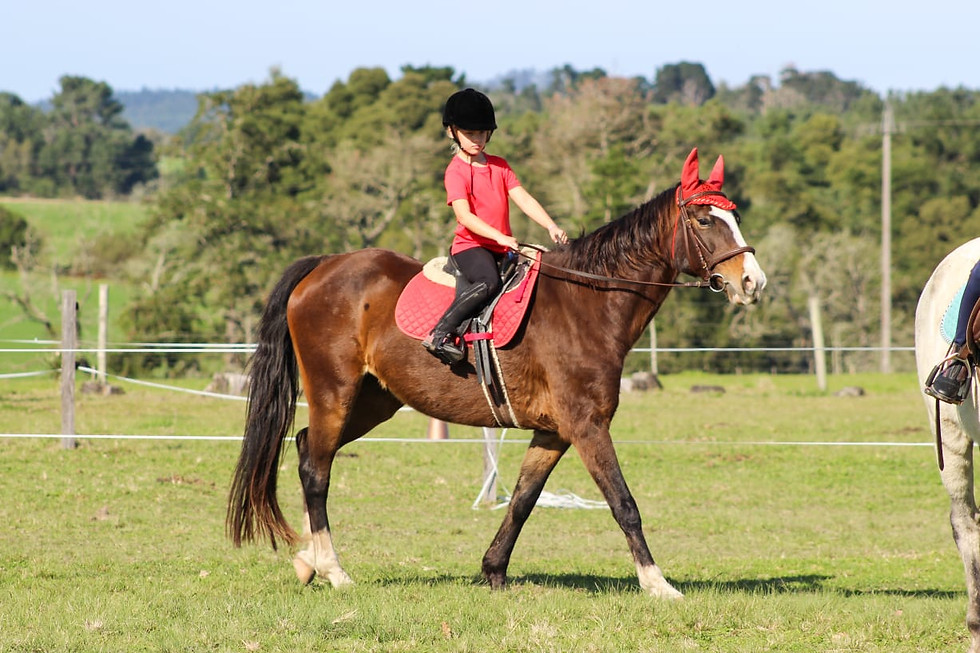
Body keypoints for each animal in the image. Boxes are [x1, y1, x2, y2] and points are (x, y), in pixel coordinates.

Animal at [227, 147, 767, 598]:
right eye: (704, 219)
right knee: (316, 469)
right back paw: (335, 571)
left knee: (305, 449)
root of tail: (324, 266)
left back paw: (309, 562)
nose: (752, 282)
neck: (587, 301)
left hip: (375, 400)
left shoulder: (554, 432)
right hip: (333, 392)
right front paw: (657, 584)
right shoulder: (587, 426)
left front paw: (493, 571)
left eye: (735, 217)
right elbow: (623, 503)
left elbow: (523, 501)